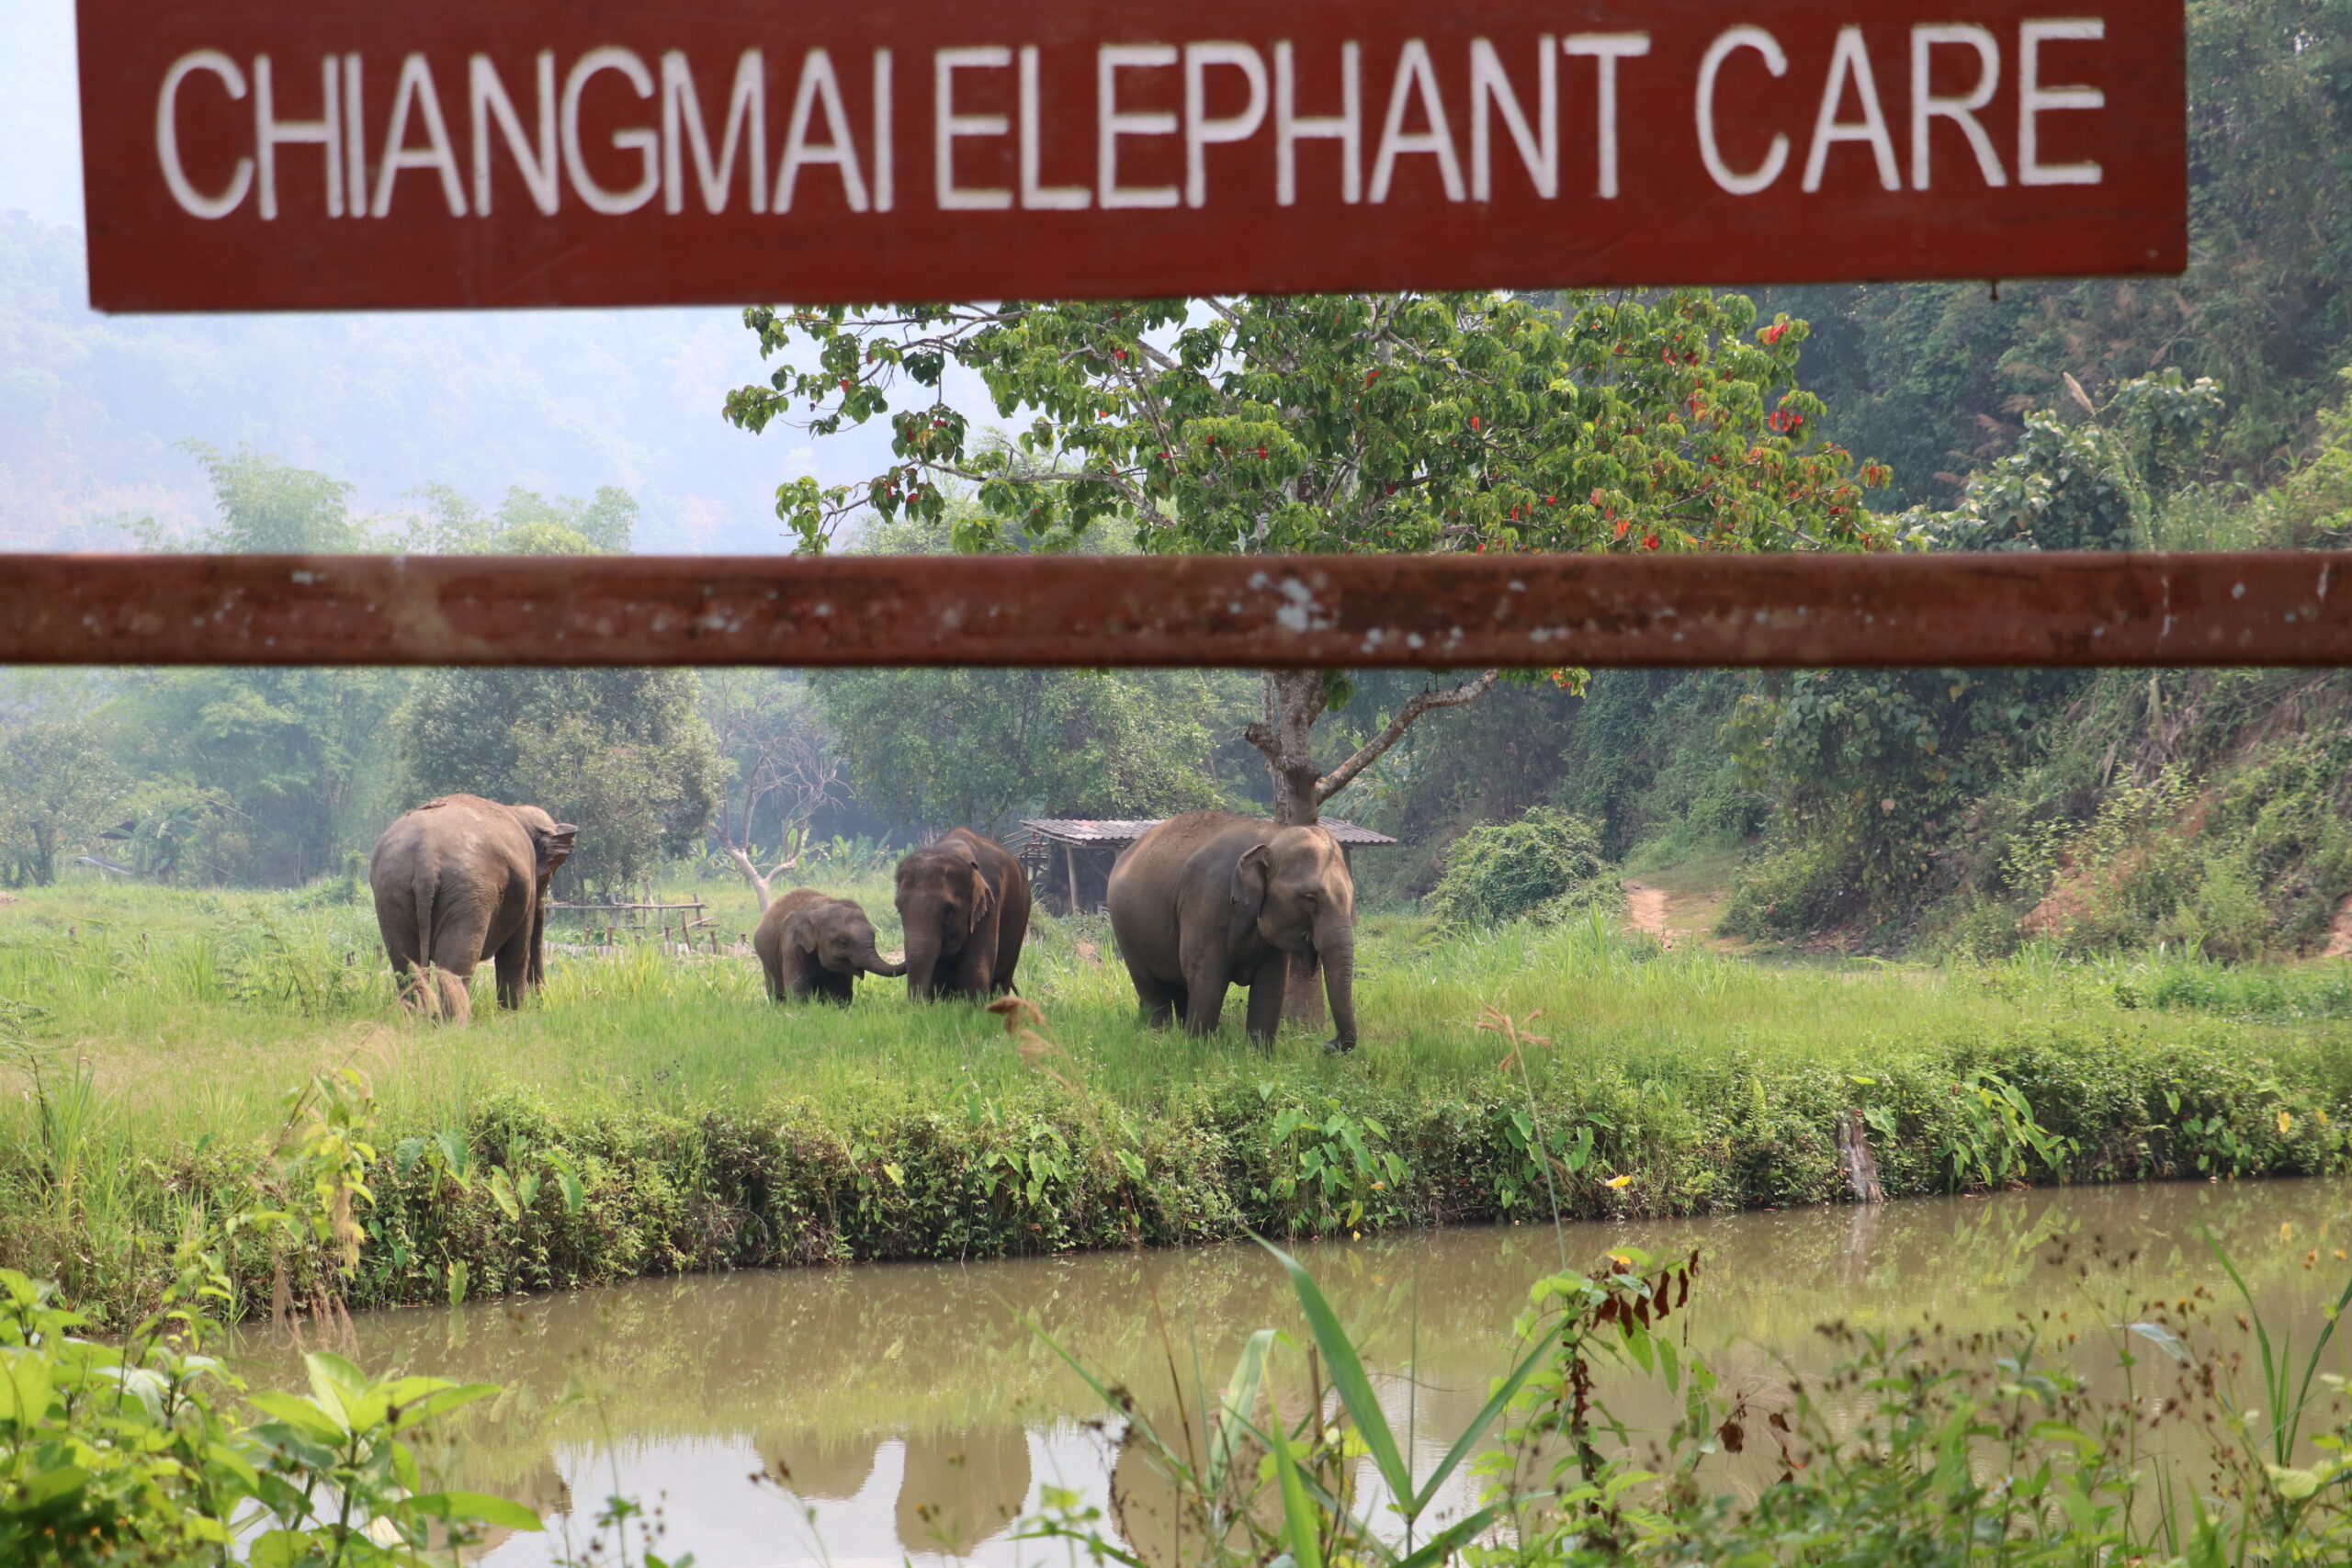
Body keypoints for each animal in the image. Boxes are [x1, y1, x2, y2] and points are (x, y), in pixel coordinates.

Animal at [369, 794, 577, 1022]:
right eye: (549, 872)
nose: (541, 1005)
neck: (515, 810)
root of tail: (426, 859)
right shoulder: (526, 884)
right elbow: (517, 949)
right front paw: (513, 1015)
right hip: (468, 892)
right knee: (456, 965)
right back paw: (456, 1023)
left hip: (391, 890)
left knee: (406, 966)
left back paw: (418, 1020)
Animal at [753, 888, 906, 1004]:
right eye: (843, 942)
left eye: (874, 937)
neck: (819, 909)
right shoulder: (791, 945)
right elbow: (798, 988)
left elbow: (840, 992)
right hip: (767, 961)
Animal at [1104, 811, 1358, 1052]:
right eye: (1309, 897)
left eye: (1351, 896)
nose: (1327, 1045)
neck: (1271, 836)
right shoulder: (1207, 900)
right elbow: (1206, 975)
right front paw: (1198, 1051)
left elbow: (1271, 983)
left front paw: (1259, 1056)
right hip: (1125, 930)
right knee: (1153, 990)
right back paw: (1157, 1038)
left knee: (1179, 988)